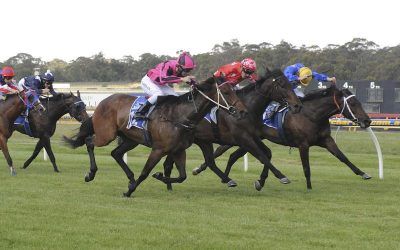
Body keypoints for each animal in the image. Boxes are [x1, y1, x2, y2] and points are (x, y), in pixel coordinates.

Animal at [63, 78, 247, 197]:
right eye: (225, 92)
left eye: (234, 90)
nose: (242, 111)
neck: (180, 116)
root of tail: (102, 102)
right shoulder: (158, 149)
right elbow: (145, 172)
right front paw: (130, 191)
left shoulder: (179, 150)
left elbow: (182, 176)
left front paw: (159, 177)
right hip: (106, 135)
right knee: (89, 142)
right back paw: (91, 174)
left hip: (130, 139)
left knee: (116, 153)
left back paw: (130, 178)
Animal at [159, 68, 304, 189]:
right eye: (282, 85)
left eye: (291, 84)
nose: (297, 106)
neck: (248, 108)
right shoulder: (243, 138)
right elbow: (261, 156)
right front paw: (281, 176)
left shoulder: (253, 136)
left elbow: (267, 153)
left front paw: (261, 181)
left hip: (198, 141)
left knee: (200, 162)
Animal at [194, 85, 372, 189]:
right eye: (353, 104)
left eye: (359, 102)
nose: (367, 120)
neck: (312, 115)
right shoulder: (303, 144)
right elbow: (306, 167)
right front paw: (309, 187)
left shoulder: (326, 140)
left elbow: (343, 157)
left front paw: (363, 173)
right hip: (238, 138)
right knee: (220, 151)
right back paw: (200, 169)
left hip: (249, 140)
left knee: (233, 156)